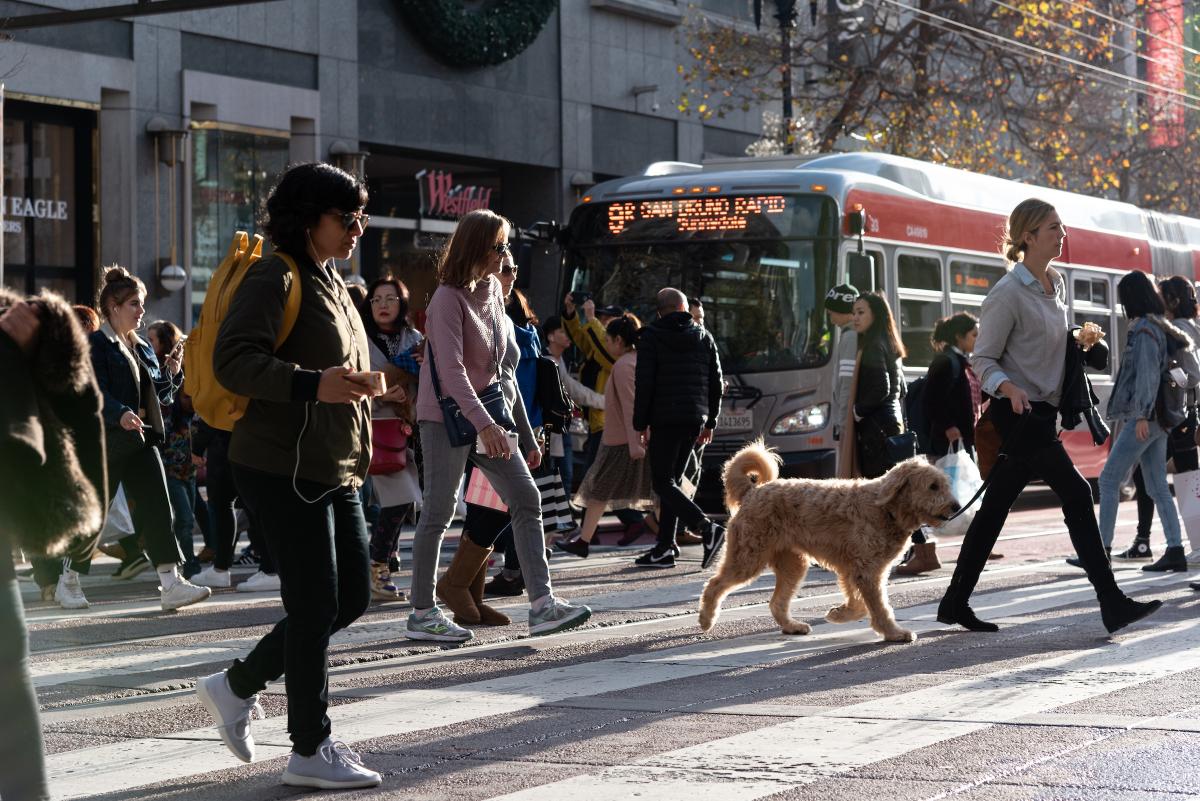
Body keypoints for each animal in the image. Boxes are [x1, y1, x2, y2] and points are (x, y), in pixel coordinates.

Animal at [700, 441, 960, 642]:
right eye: (933, 486)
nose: (956, 506)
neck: (886, 510)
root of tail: (753, 491)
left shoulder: (857, 570)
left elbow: (860, 604)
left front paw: (839, 613)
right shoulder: (866, 571)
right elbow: (877, 606)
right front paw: (894, 633)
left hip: (792, 564)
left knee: (777, 602)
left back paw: (792, 626)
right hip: (748, 558)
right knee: (714, 584)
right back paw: (705, 620)